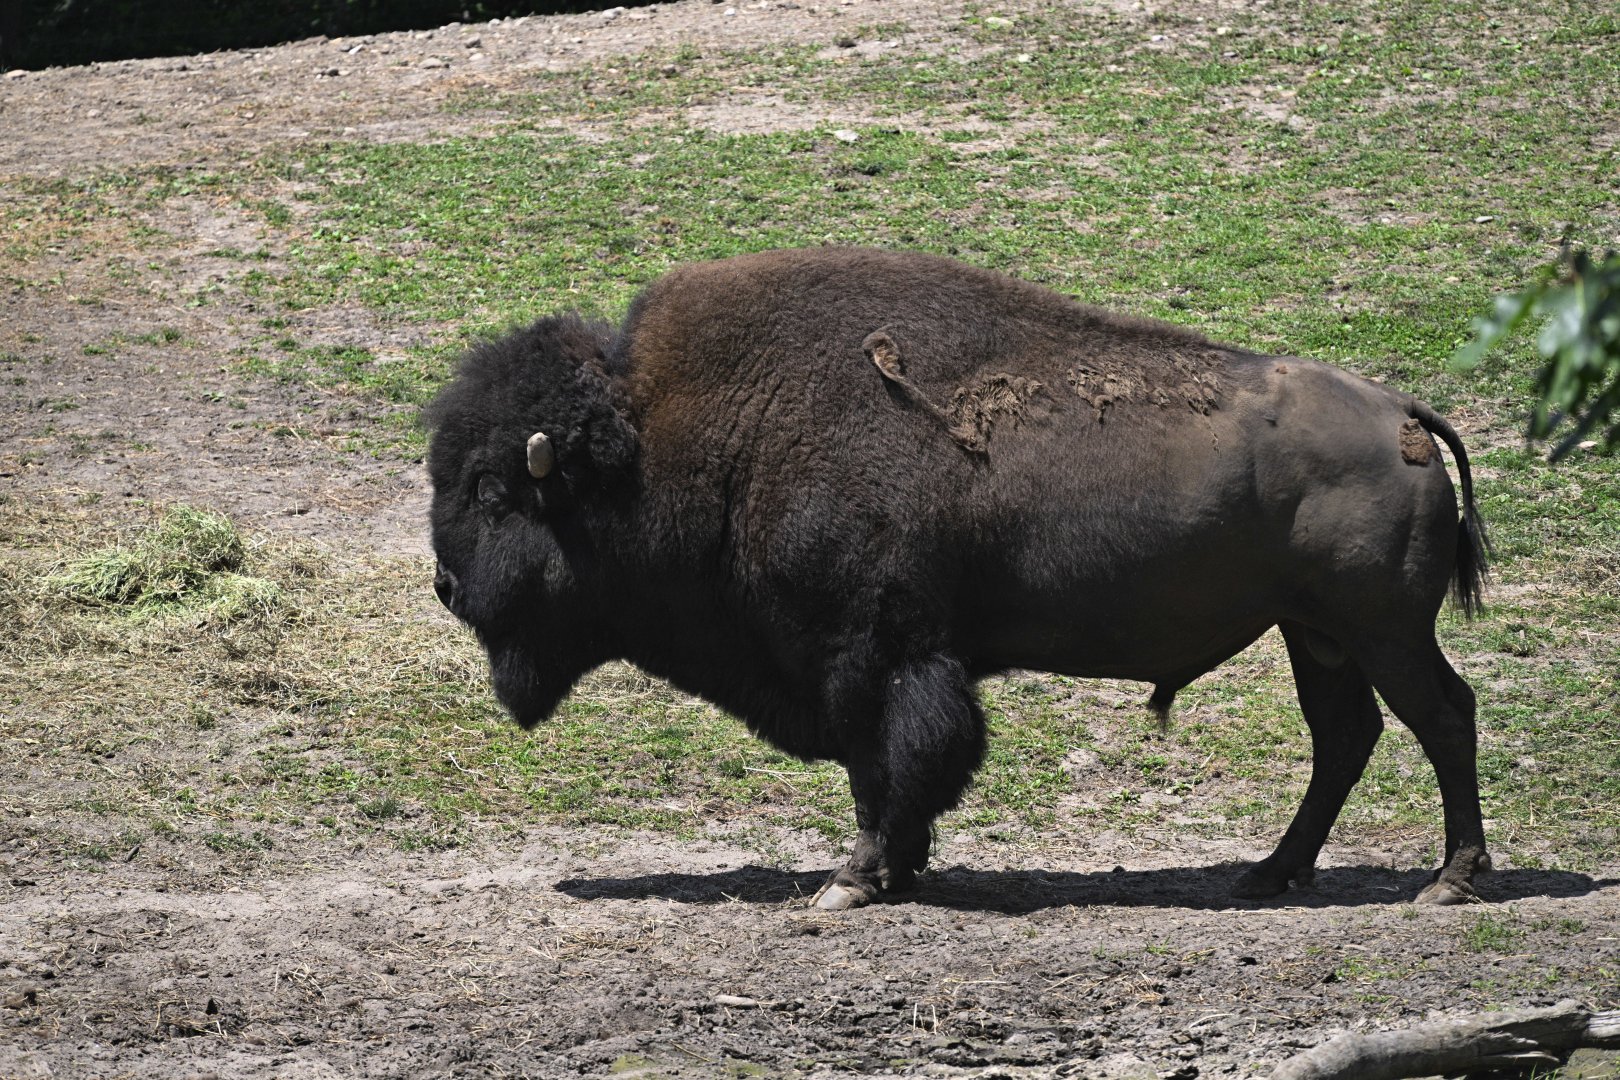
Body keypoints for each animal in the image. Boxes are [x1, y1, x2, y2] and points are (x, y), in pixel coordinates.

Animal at [425, 247, 1490, 911]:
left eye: (492, 490)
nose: (444, 585)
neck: (672, 437)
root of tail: (1401, 413)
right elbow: (893, 773)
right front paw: (897, 874)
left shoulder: (868, 659)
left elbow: (885, 769)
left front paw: (853, 881)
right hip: (1315, 635)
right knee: (1344, 736)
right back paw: (1270, 873)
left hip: (1383, 632)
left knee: (1442, 717)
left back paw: (1449, 880)